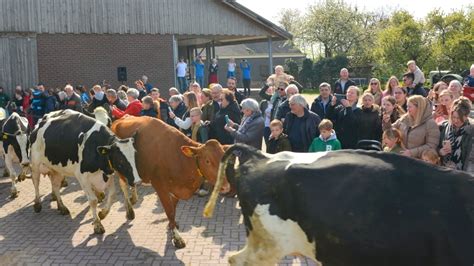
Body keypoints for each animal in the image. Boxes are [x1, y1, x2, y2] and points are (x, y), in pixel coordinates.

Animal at [112, 115, 229, 248]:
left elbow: (173, 208)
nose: (226, 186)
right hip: (120, 169)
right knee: (123, 186)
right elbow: (169, 211)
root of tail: (121, 118)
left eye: (224, 159)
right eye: (207, 161)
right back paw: (130, 210)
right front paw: (177, 238)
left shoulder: (176, 189)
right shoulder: (160, 188)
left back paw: (134, 198)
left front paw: (172, 225)